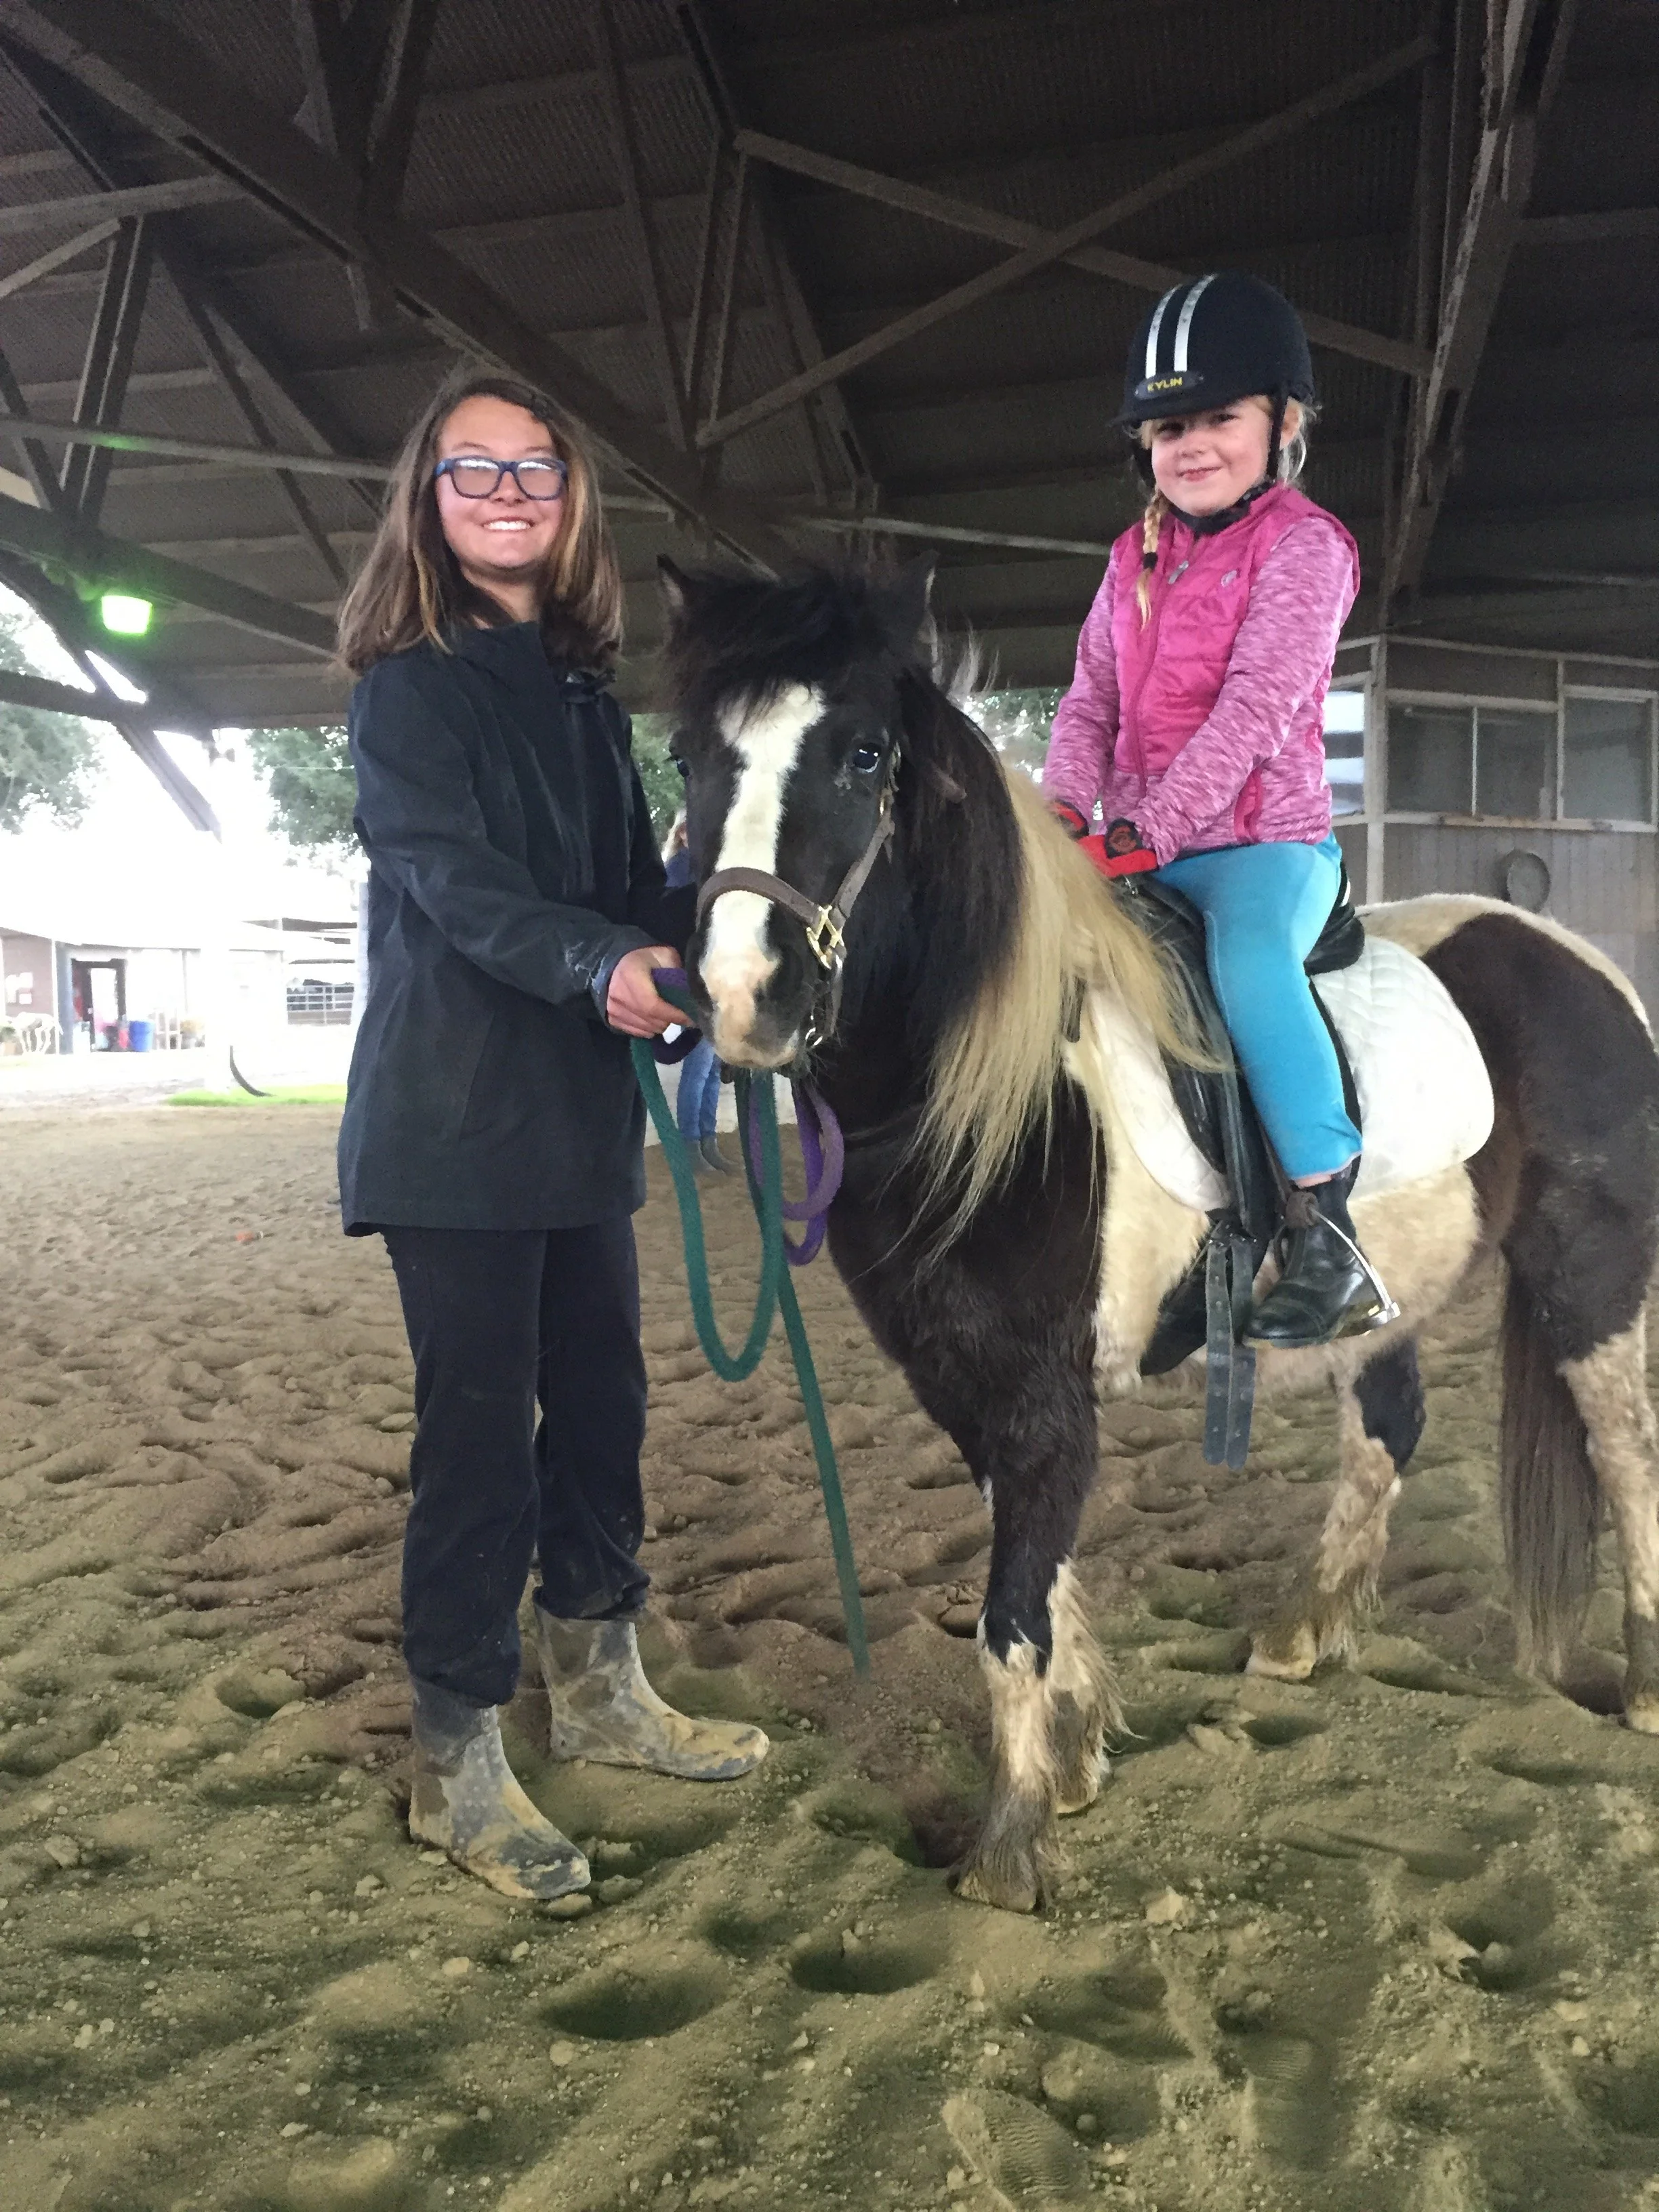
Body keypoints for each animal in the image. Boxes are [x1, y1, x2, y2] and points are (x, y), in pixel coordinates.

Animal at [656, 554, 1659, 1914]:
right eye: (686, 754)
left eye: (865, 753)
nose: (741, 997)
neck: (996, 1086)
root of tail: (1575, 959)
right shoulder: (966, 1381)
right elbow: (1042, 1573)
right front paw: (1074, 1756)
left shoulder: (1038, 1388)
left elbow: (1009, 1612)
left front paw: (1009, 1844)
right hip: (1390, 1291)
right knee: (1388, 1430)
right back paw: (1302, 1631)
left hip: (1589, 1271)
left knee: (1622, 1451)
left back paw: (1644, 1683)